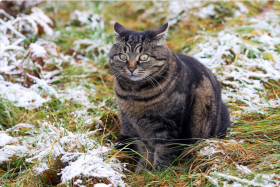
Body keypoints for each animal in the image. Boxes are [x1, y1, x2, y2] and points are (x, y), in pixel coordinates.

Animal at [108, 22, 231, 172]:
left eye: (144, 57)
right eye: (122, 56)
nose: (131, 68)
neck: (134, 94)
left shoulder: (168, 127)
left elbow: (163, 152)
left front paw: (158, 172)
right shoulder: (135, 128)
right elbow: (145, 150)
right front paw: (144, 169)